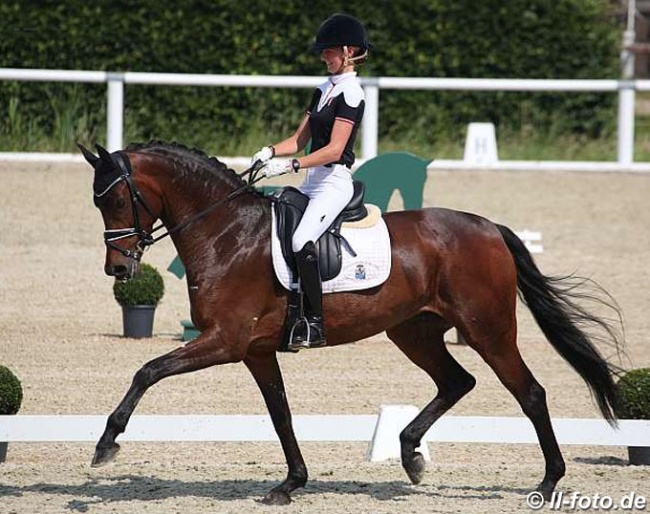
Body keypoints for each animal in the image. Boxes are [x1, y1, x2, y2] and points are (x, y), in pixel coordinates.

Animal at [78, 140, 620, 504]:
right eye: (99, 202)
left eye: (118, 200)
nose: (118, 270)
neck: (227, 232)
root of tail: (488, 227)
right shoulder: (255, 350)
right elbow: (280, 413)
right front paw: (290, 483)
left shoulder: (225, 342)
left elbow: (147, 370)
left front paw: (106, 444)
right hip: (413, 331)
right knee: (456, 381)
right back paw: (410, 454)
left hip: (487, 330)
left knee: (529, 392)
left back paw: (547, 481)